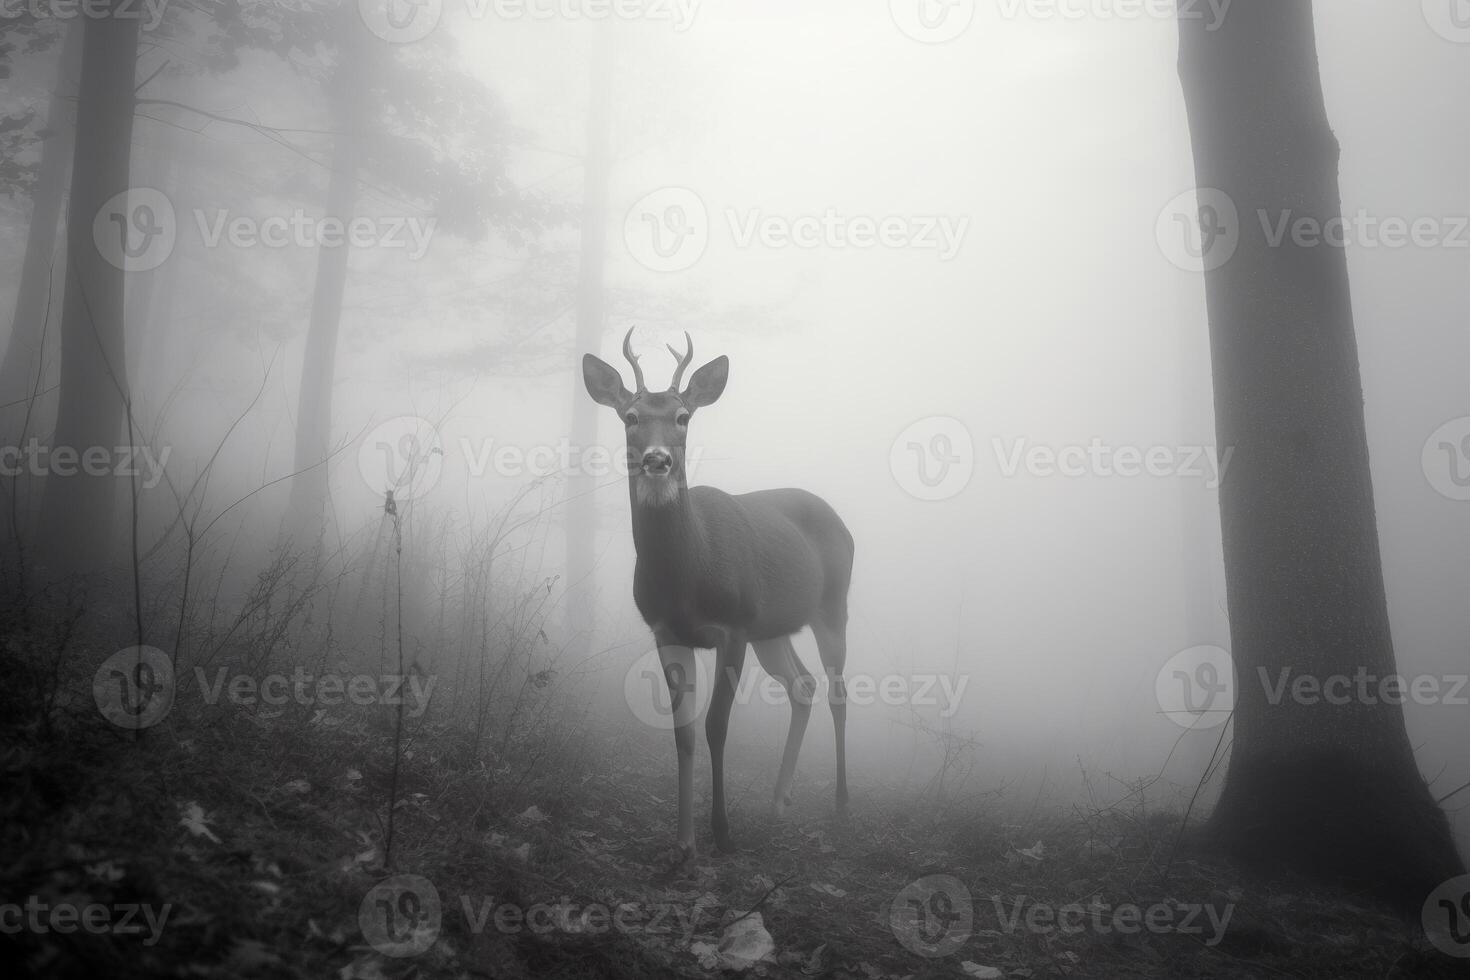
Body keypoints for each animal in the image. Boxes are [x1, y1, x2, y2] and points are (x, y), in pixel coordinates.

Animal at [582, 332, 858, 863]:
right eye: (630, 416)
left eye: (683, 416)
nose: (657, 460)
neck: (689, 574)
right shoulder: (667, 631)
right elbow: (684, 732)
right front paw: (684, 842)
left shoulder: (733, 627)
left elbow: (716, 726)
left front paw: (723, 833)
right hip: (773, 630)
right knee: (803, 685)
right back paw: (778, 799)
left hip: (832, 607)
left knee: (838, 693)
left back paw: (840, 801)